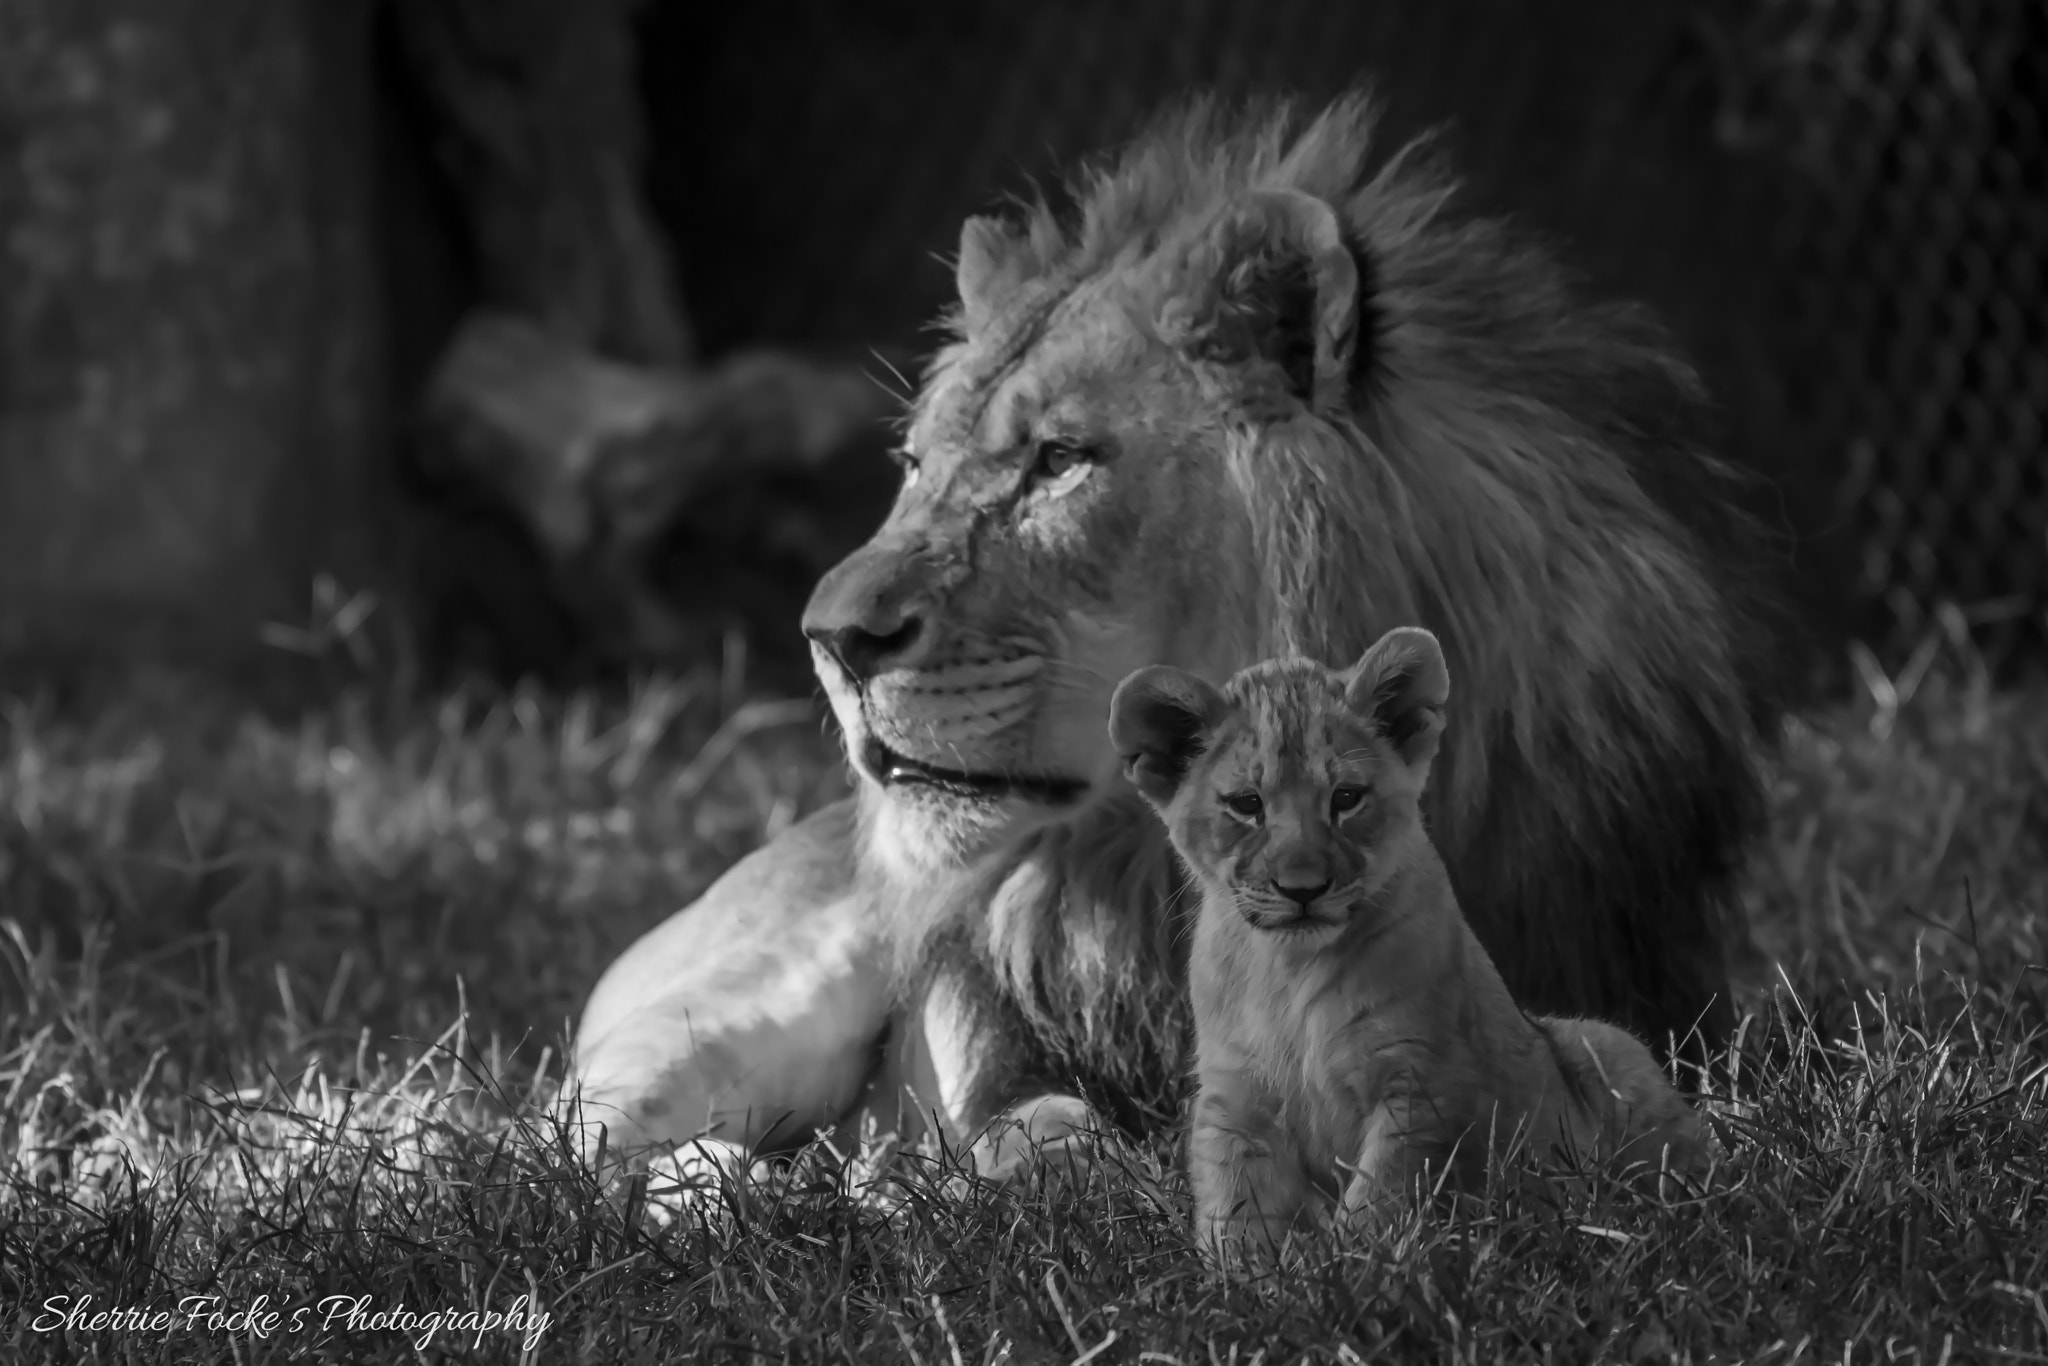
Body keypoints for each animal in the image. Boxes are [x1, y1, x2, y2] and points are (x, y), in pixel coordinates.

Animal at [564, 92, 1786, 1187]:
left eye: (1060, 460)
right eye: (914, 464)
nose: (828, 638)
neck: (1143, 869)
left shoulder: (1654, 1014)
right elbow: (1042, 1128)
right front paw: (929, 1178)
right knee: (553, 1148)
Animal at [1109, 628, 1712, 1263]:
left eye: (1346, 798)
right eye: (1247, 805)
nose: (1303, 888)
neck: (1289, 967)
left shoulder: (1419, 1080)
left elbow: (1383, 1195)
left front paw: (1358, 1266)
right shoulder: (1235, 1097)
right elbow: (1236, 1205)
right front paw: (1252, 1276)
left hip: (1610, 1048)